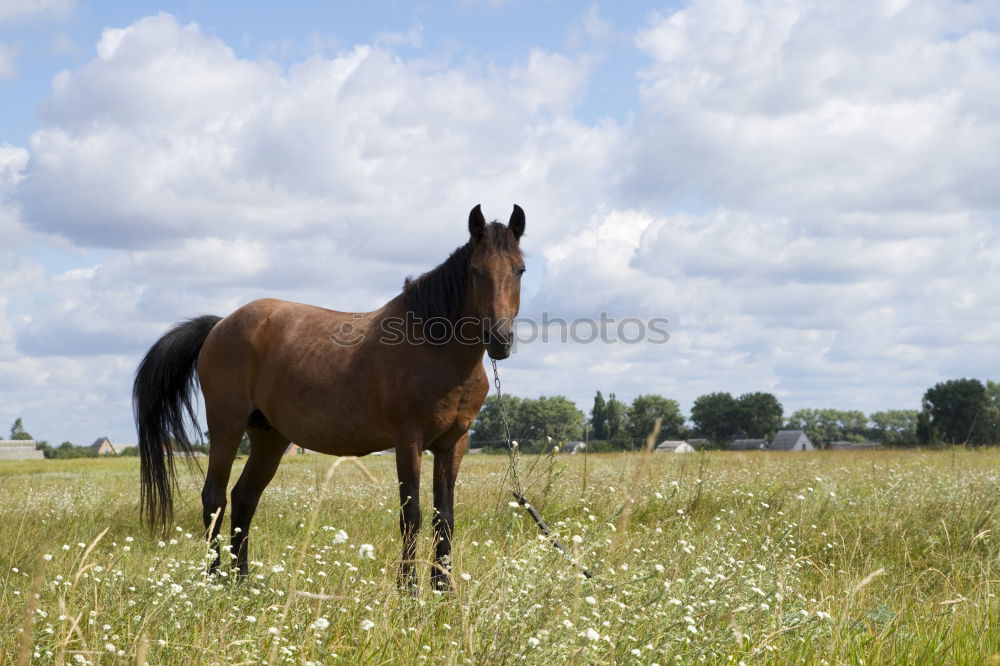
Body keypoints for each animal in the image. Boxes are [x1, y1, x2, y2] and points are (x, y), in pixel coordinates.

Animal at [131, 202, 532, 588]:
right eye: (476, 271)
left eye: (520, 270)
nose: (499, 339)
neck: (434, 348)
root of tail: (220, 325)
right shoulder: (409, 440)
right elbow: (412, 513)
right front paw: (409, 589)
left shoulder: (454, 442)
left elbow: (443, 516)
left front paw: (443, 589)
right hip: (226, 425)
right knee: (214, 497)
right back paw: (214, 580)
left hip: (269, 436)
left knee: (244, 497)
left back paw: (242, 581)